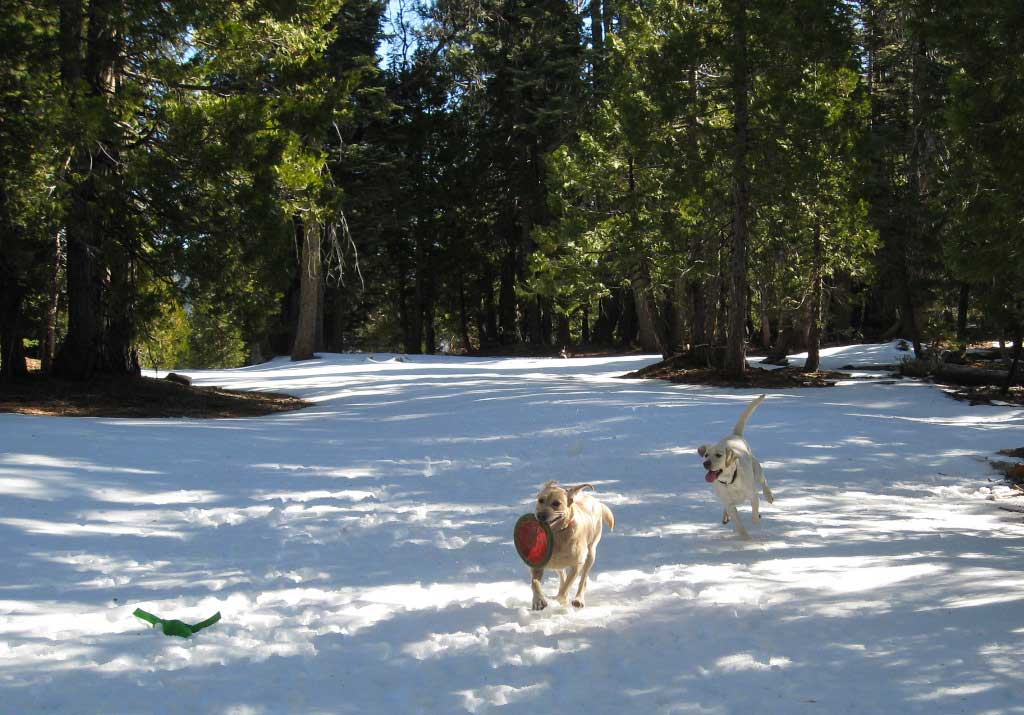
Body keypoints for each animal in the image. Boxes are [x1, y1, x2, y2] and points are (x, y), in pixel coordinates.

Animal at [700, 393, 770, 536]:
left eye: (718, 455)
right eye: (706, 455)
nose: (706, 463)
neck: (730, 481)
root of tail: (735, 435)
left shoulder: (753, 496)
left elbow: (755, 513)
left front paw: (756, 523)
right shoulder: (730, 505)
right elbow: (739, 524)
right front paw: (745, 538)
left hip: (756, 470)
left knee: (764, 480)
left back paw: (769, 496)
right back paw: (725, 516)